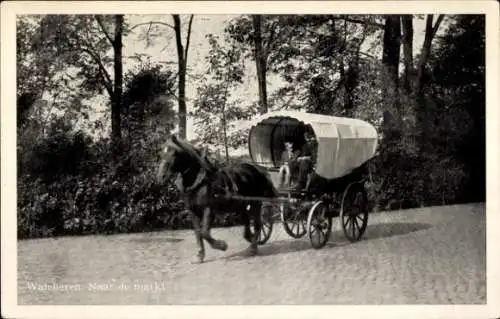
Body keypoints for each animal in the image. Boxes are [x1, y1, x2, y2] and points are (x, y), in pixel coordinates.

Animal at [156, 136, 278, 264]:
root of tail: (257, 169)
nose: (161, 177)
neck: (200, 182)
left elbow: (204, 232)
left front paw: (221, 245)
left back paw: (253, 248)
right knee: (247, 221)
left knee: (258, 224)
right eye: (161, 153)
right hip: (242, 205)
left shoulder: (208, 209)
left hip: (256, 203)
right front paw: (200, 255)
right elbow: (198, 233)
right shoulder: (192, 211)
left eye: (174, 153)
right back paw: (250, 238)